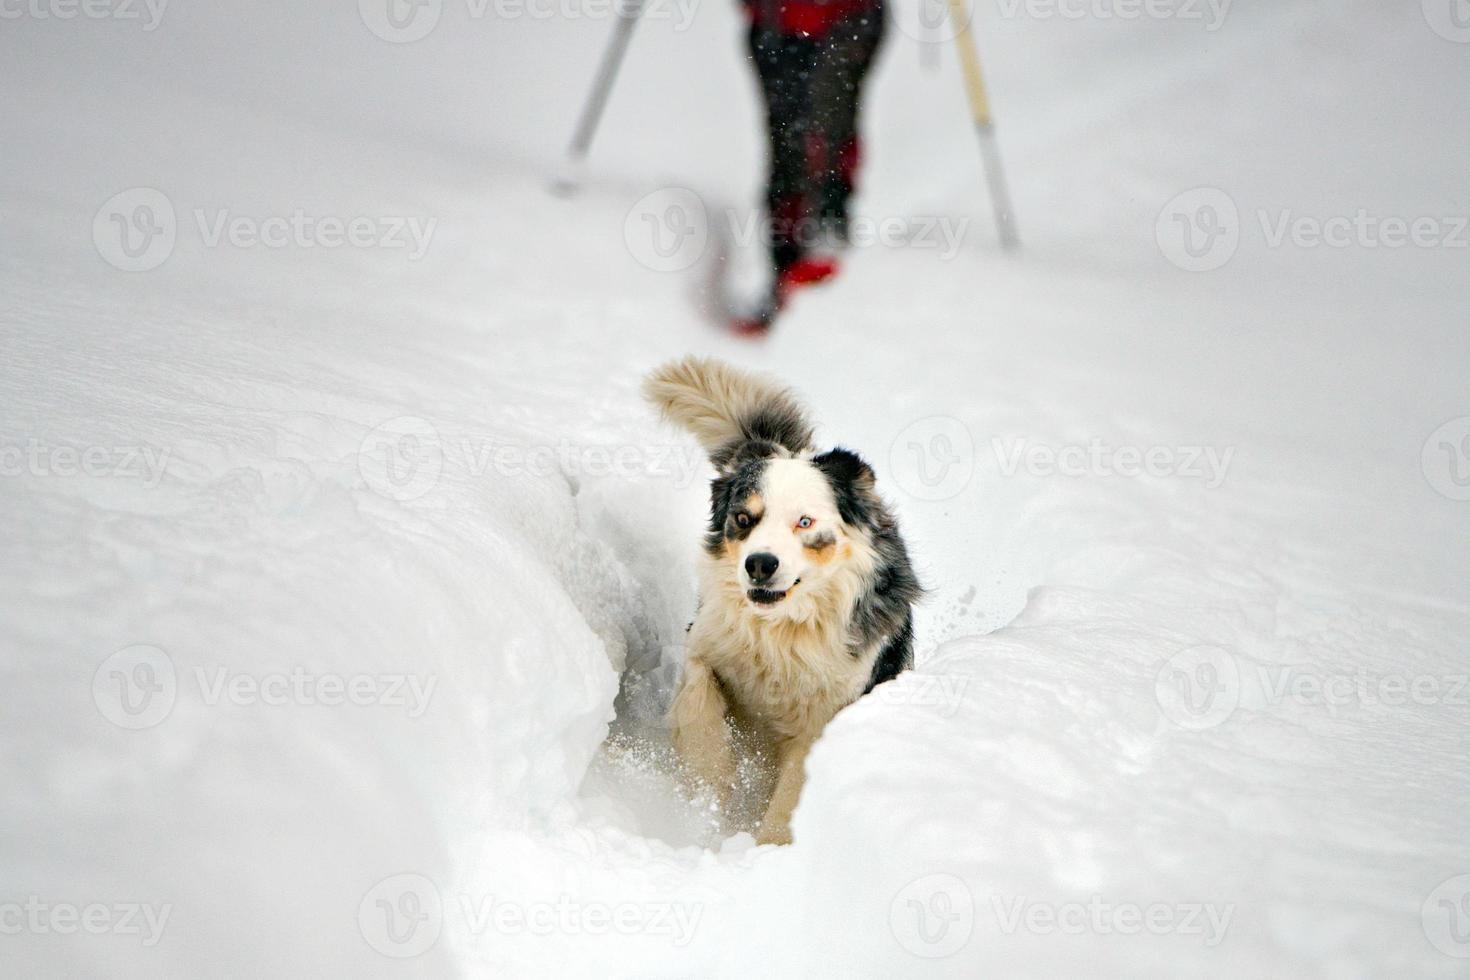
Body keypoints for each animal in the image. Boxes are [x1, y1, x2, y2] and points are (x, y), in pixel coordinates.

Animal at [643, 357, 917, 846]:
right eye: (743, 518)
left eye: (804, 522)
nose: (759, 564)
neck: (780, 631)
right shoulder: (707, 641)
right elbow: (699, 700)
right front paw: (707, 788)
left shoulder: (823, 716)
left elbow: (792, 795)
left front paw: (768, 847)